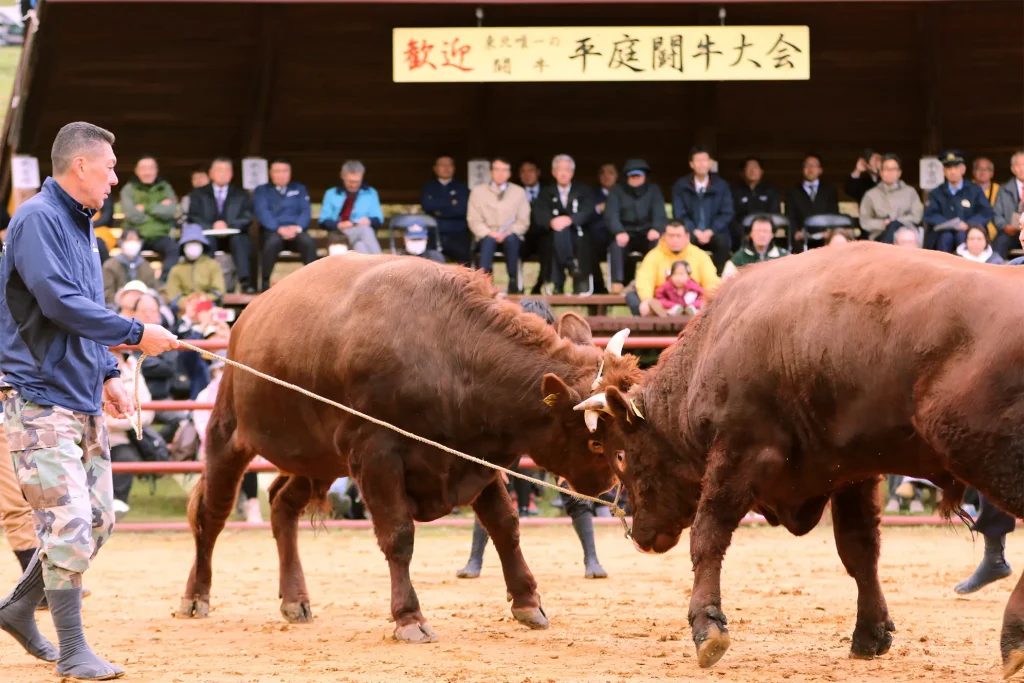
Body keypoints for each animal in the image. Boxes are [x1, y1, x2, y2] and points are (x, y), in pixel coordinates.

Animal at [176, 253, 638, 643]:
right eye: (596, 440)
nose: (605, 486)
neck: (449, 355)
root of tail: (249, 315)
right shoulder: (376, 453)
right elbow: (398, 535)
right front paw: (409, 617)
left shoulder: (474, 457)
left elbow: (504, 525)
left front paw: (527, 602)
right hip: (228, 432)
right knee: (211, 513)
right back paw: (196, 595)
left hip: (318, 458)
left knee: (282, 505)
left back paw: (294, 598)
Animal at [581, 241, 1024, 679]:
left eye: (620, 454)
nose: (640, 536)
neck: (717, 340)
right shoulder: (852, 472)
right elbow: (859, 548)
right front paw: (870, 632)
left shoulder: (739, 454)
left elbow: (708, 536)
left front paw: (707, 626)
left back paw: (1013, 637)